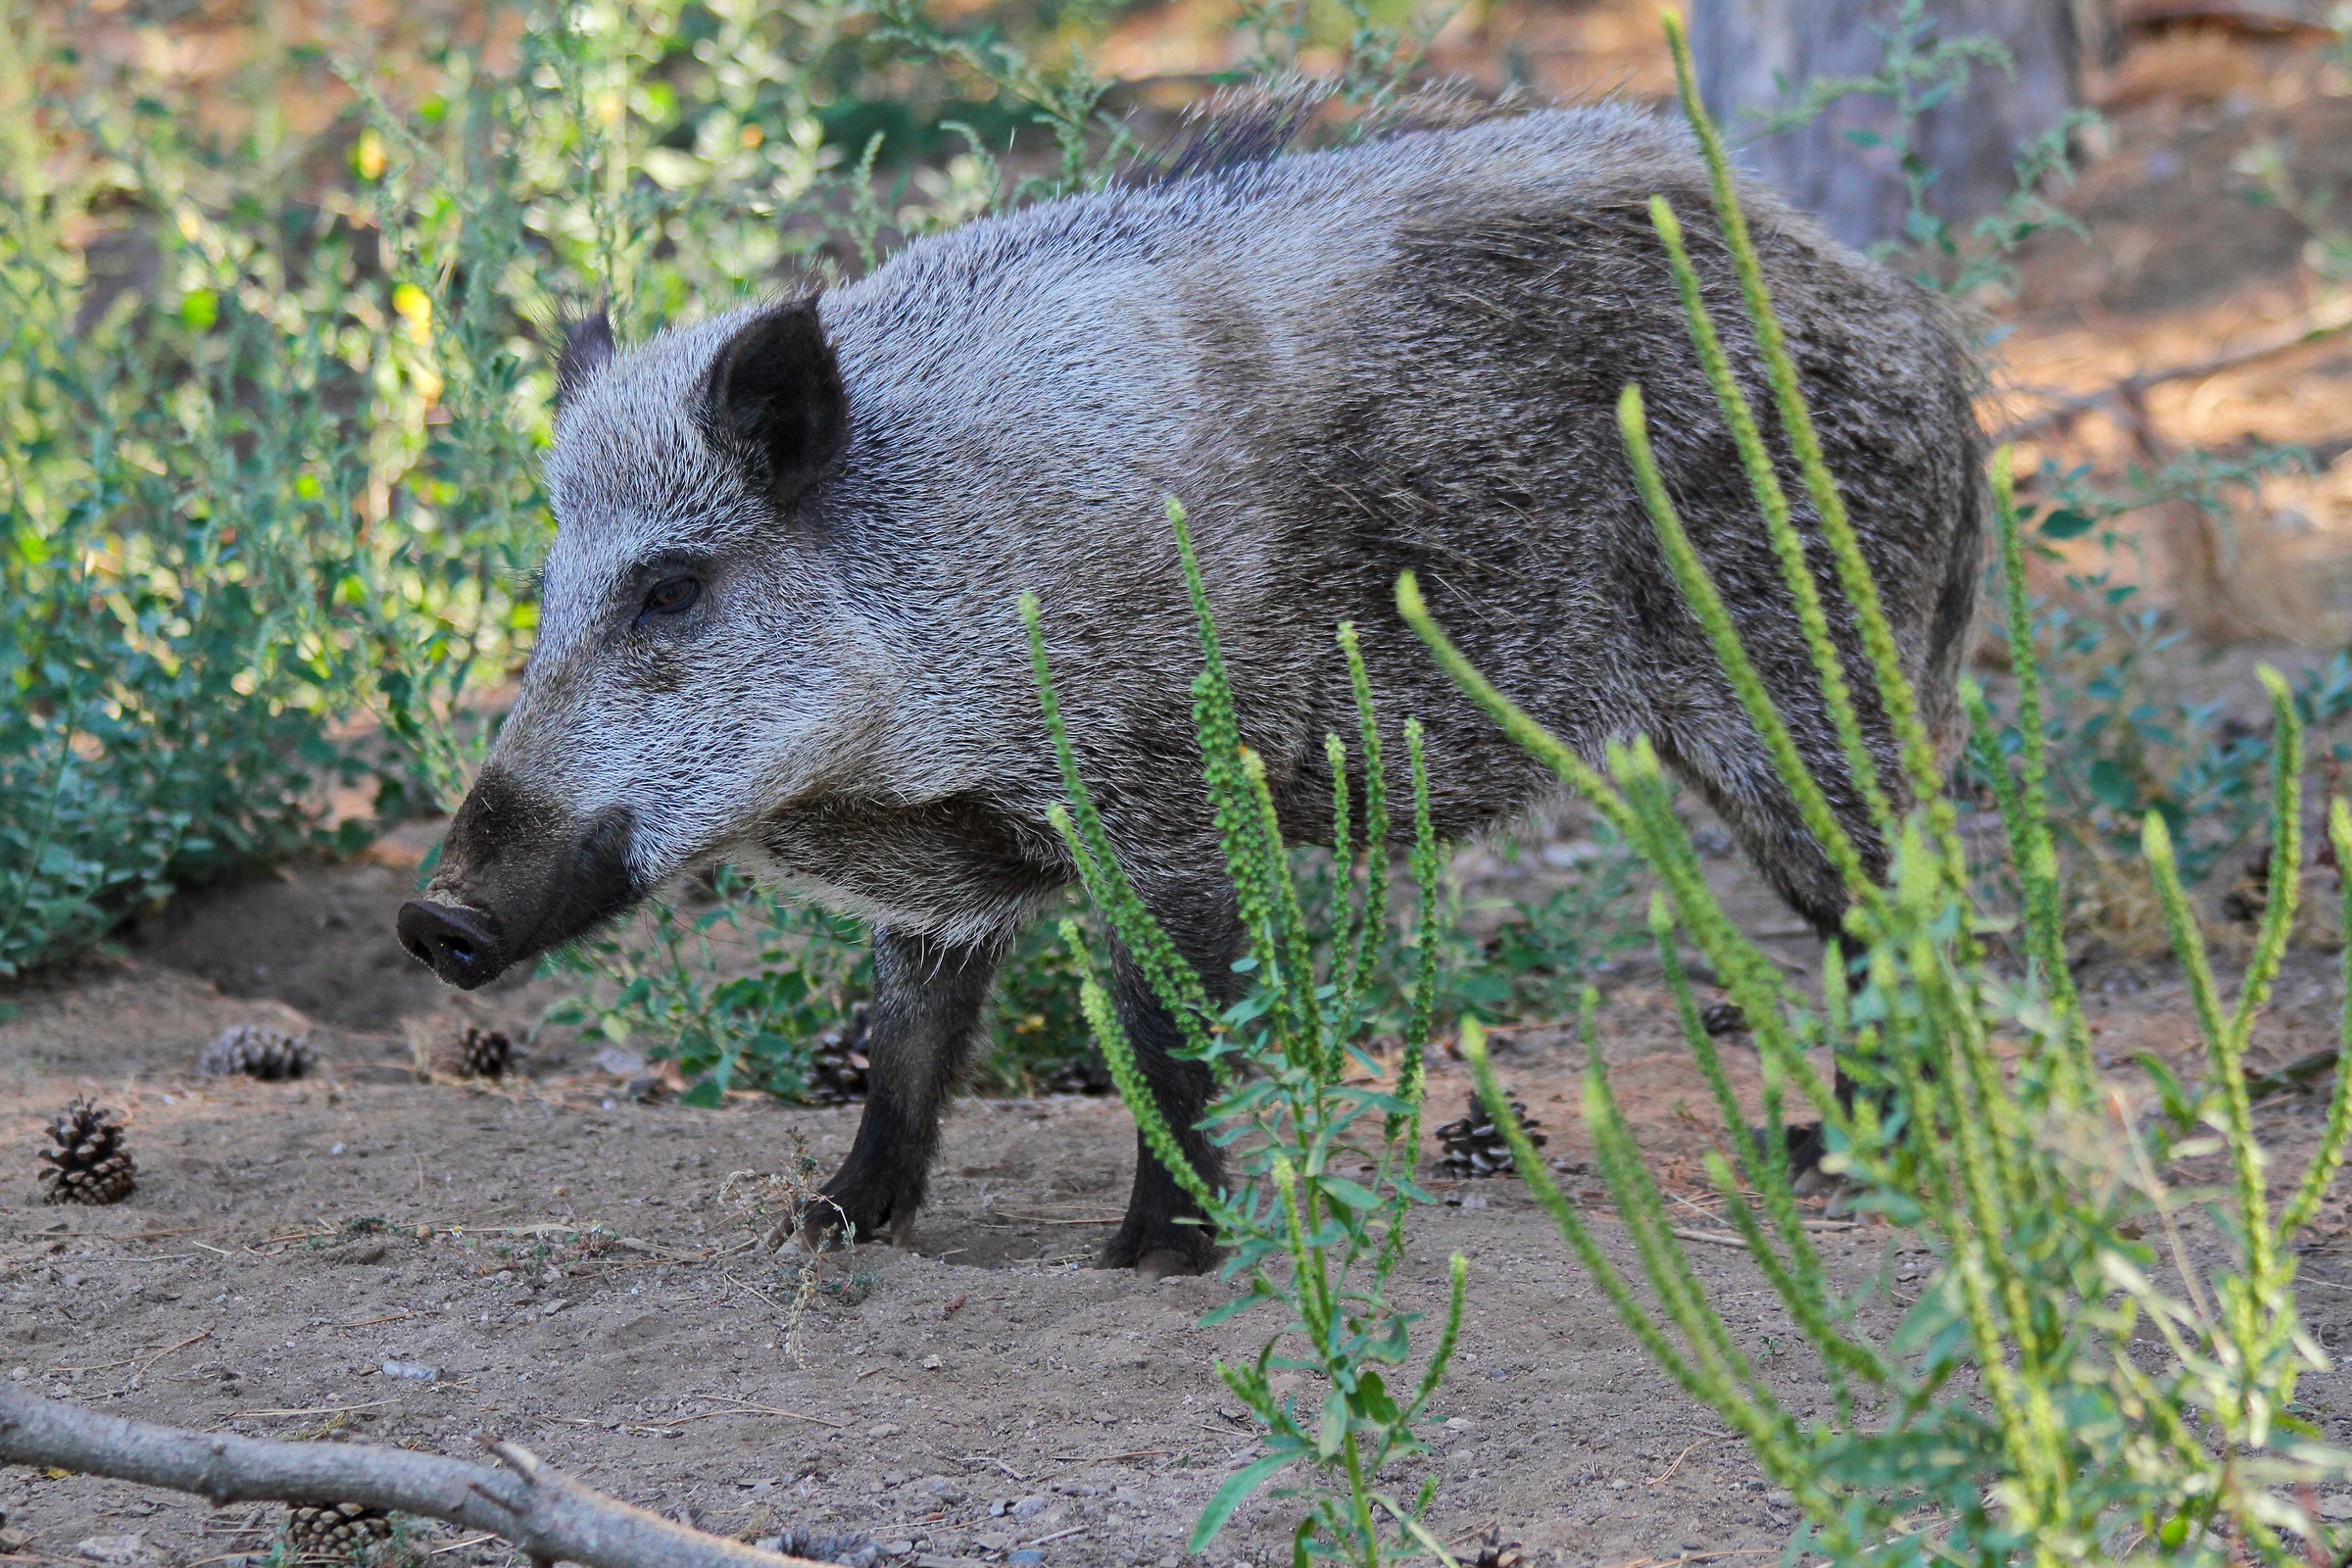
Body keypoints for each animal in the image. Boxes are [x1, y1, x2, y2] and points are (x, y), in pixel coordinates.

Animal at [396, 104, 1985, 1277]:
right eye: (548, 585)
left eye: (671, 586)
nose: (434, 917)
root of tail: (1926, 340)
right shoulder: (946, 875)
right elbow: (908, 1043)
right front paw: (825, 1224)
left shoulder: (1163, 794)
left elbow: (1166, 1034)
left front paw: (1152, 1259)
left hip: (1799, 678)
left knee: (1896, 904)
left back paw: (1828, 1161)